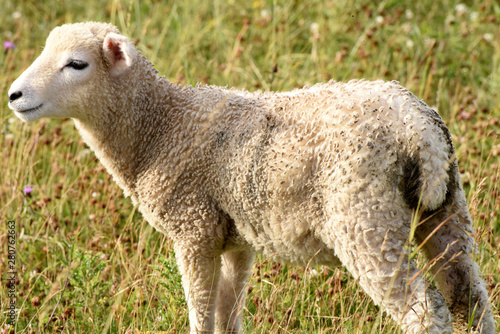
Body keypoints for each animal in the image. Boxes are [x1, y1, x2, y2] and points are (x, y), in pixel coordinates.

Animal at [7, 21, 496, 334]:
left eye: (77, 64)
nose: (13, 95)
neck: (159, 128)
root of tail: (419, 130)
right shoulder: (236, 239)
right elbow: (228, 316)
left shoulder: (194, 231)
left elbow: (201, 317)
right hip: (446, 211)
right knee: (470, 301)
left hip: (366, 219)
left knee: (425, 312)